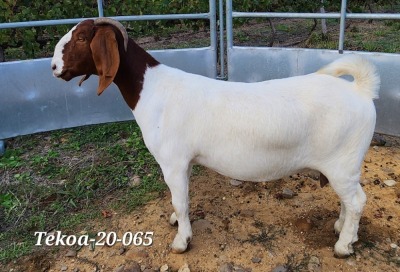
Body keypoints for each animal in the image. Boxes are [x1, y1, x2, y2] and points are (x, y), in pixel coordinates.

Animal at [51, 18, 380, 258]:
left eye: (81, 38)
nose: (53, 67)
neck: (153, 89)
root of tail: (360, 91)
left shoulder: (172, 161)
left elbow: (180, 200)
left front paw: (181, 241)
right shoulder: (185, 162)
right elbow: (181, 199)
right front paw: (176, 221)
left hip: (341, 162)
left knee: (357, 201)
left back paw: (343, 246)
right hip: (345, 166)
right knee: (351, 199)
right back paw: (341, 229)